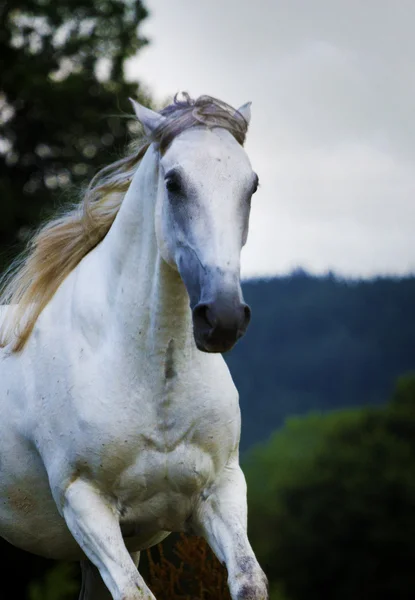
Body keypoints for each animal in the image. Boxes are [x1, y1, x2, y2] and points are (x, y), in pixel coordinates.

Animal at [0, 94, 266, 600]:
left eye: (252, 185)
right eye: (173, 182)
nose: (222, 318)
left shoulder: (221, 491)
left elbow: (249, 580)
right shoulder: (85, 504)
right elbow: (136, 592)